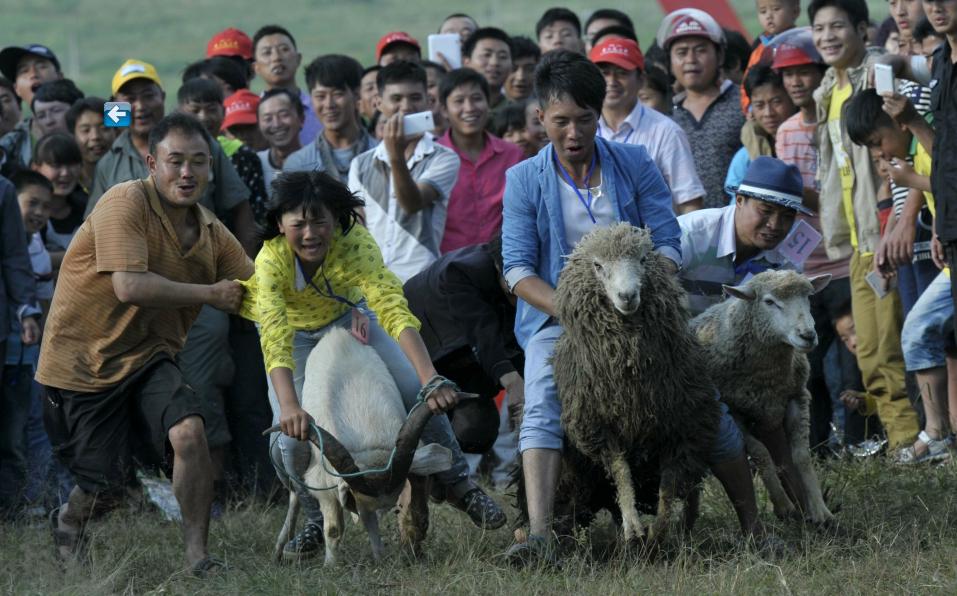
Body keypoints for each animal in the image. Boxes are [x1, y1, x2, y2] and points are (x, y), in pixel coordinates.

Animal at [268, 328, 450, 564]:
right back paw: (281, 548)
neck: (366, 435)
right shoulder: (325, 483)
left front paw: (382, 558)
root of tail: (335, 332)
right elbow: (334, 529)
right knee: (294, 496)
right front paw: (331, 566)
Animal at [692, 268, 832, 524]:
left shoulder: (797, 397)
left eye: (808, 297)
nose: (808, 335)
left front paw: (819, 510)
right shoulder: (734, 411)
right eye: (769, 302)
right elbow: (760, 454)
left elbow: (801, 456)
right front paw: (784, 506)